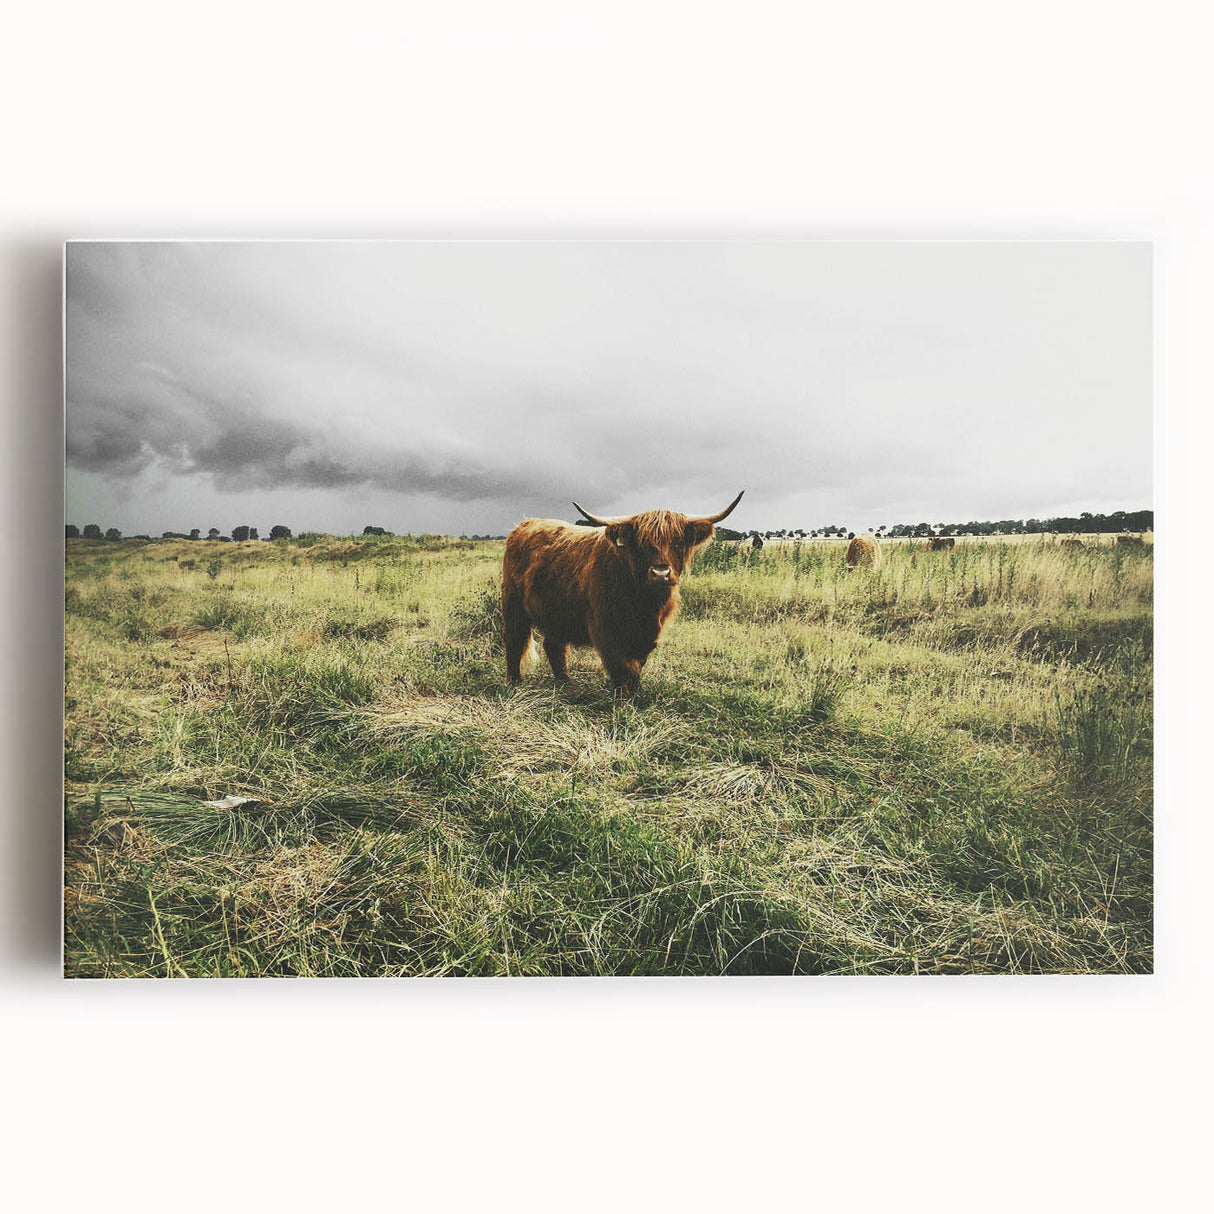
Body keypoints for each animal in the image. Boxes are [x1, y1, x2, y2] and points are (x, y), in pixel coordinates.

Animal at [502, 491, 744, 697]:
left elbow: (636, 666)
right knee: (514, 640)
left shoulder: (648, 634)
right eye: (642, 543)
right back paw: (514, 683)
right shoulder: (605, 628)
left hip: (556, 612)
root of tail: (524, 524)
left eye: (677, 541)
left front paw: (634, 693)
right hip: (513, 604)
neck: (644, 604)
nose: (660, 573)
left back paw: (565, 682)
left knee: (554, 646)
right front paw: (624, 698)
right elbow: (620, 666)